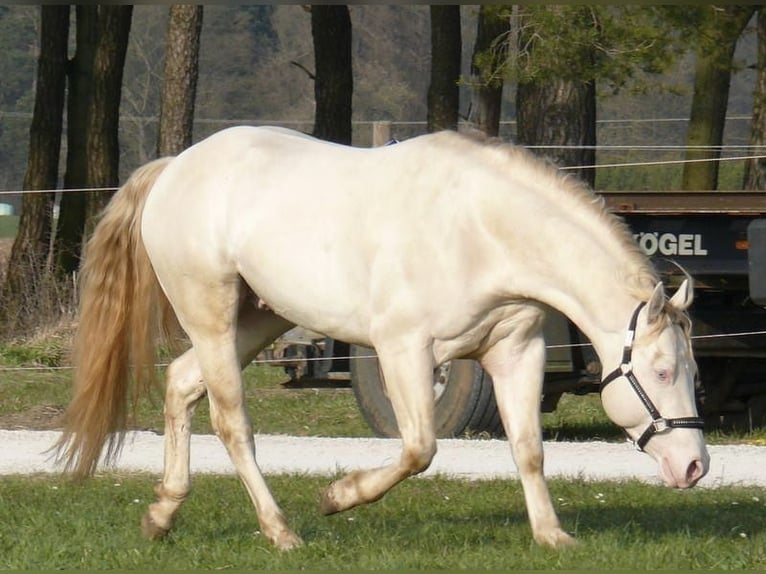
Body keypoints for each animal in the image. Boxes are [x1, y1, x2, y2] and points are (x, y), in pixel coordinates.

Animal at [57, 126, 712, 548]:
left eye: (694, 375)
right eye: (660, 373)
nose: (694, 466)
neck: (481, 230)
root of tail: (174, 168)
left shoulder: (515, 353)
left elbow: (528, 449)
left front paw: (552, 536)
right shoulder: (405, 351)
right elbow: (419, 448)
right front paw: (338, 495)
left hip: (258, 317)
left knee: (180, 384)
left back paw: (162, 514)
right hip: (211, 315)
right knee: (231, 421)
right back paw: (281, 531)